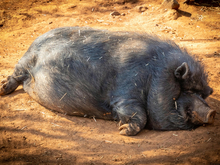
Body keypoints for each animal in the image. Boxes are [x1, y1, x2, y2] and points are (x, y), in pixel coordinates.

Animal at [0, 26, 216, 135]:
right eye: (188, 90)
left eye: (203, 94)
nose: (212, 112)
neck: (154, 75)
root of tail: (36, 40)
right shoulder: (126, 91)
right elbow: (138, 114)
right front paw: (122, 130)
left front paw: (121, 128)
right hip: (26, 60)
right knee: (16, 74)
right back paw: (3, 89)